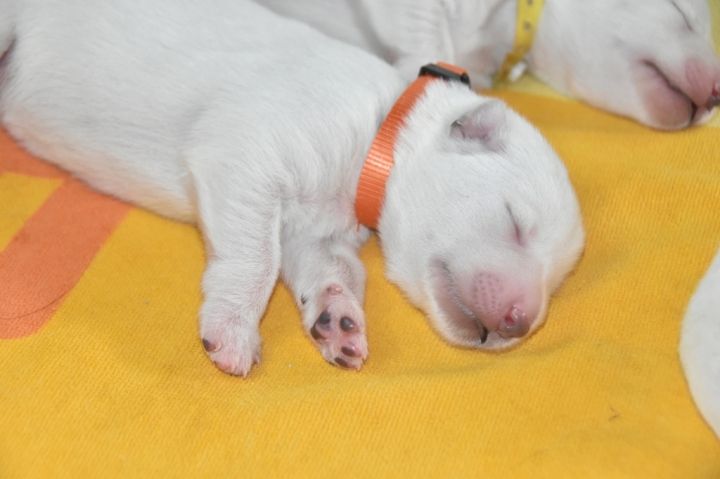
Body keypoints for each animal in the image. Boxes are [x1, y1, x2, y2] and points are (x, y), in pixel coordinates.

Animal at [0, 0, 584, 376]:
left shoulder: (317, 236)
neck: (379, 133)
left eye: (556, 281)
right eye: (515, 221)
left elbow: (332, 271)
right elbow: (257, 259)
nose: (521, 321)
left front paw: (339, 321)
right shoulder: (247, 152)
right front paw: (233, 330)